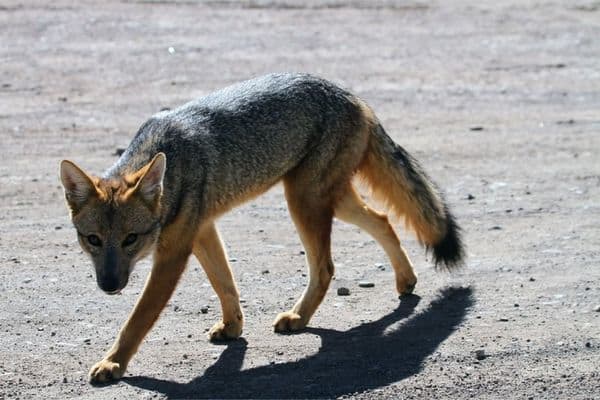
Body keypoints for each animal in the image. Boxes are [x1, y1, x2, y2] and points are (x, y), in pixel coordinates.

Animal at [59, 72, 464, 384]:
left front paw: (113, 362)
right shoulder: (202, 230)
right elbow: (225, 283)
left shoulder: (173, 252)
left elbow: (138, 317)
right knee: (382, 219)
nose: (109, 285)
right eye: (92, 240)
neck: (171, 161)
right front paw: (233, 327)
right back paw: (405, 280)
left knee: (327, 266)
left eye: (131, 240)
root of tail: (350, 94)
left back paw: (299, 317)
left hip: (304, 201)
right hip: (331, 200)